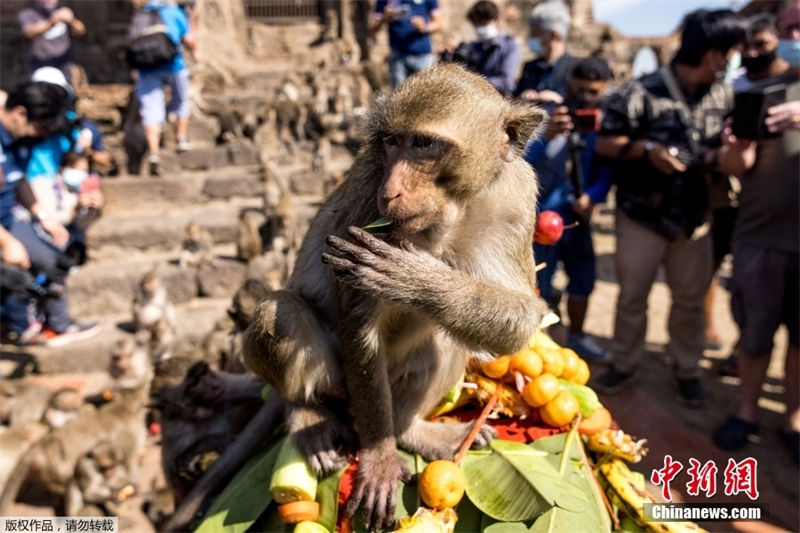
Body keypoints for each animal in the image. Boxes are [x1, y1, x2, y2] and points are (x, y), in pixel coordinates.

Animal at [241, 62, 548, 528]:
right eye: (390, 142)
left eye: (423, 144)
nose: (393, 190)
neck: (449, 215)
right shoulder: (368, 195)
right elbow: (357, 323)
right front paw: (380, 458)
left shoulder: (515, 197)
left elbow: (523, 316)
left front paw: (414, 278)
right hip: (338, 381)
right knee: (283, 313)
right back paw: (307, 413)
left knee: (446, 341)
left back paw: (412, 431)